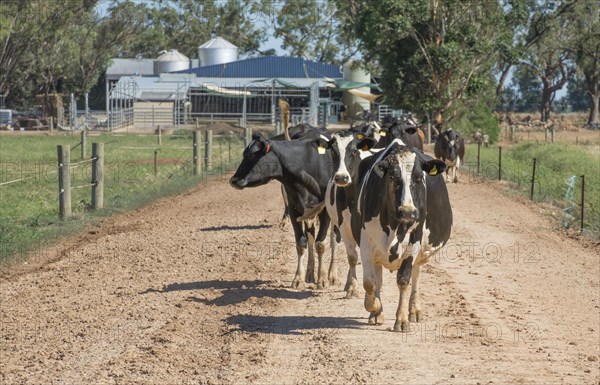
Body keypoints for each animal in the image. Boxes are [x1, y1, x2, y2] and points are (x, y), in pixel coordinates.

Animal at [231, 132, 338, 288]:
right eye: (244, 153)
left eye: (252, 155)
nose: (233, 180)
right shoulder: (295, 210)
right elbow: (301, 243)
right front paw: (298, 278)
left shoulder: (325, 211)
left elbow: (321, 244)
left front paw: (323, 279)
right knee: (310, 238)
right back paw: (310, 274)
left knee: (334, 238)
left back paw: (332, 275)